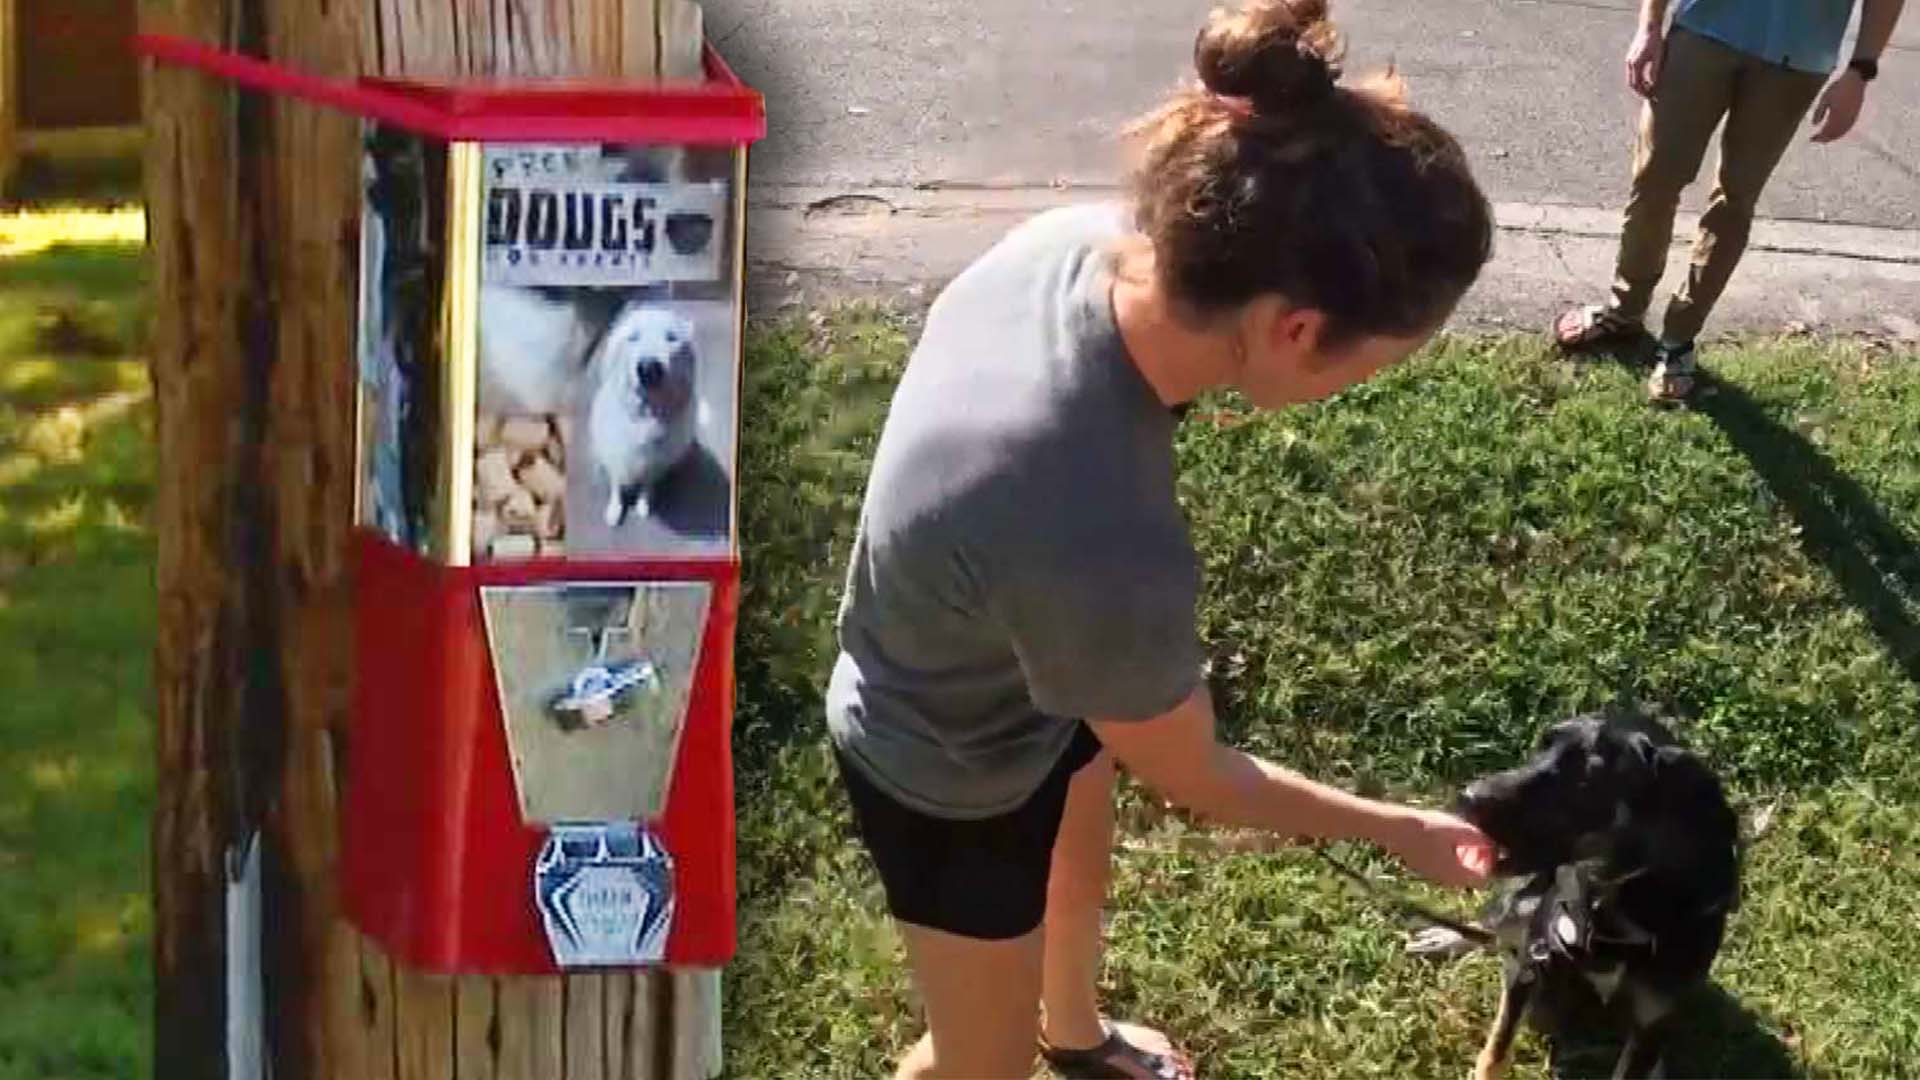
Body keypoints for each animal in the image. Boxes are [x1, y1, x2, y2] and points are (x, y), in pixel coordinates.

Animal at [591, 303, 706, 526]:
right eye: (633, 337)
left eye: (671, 338)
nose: (648, 369)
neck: (647, 415)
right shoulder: (618, 454)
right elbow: (616, 485)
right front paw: (614, 510)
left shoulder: (656, 463)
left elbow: (647, 484)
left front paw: (643, 504)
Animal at [1451, 707, 1743, 1076]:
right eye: (1540, 747)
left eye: (1586, 778)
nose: (1466, 797)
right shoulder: (1530, 965)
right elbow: (1495, 1053)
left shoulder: (1651, 1021)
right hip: (1521, 906)